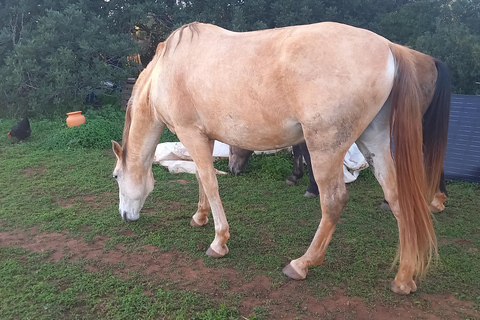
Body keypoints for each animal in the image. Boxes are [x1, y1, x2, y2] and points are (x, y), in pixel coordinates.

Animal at [111, 21, 450, 294]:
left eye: (115, 176)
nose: (124, 216)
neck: (166, 69)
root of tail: (388, 48)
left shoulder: (190, 134)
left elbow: (209, 182)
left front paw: (219, 241)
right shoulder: (204, 137)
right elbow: (200, 179)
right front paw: (200, 217)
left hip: (325, 148)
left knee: (334, 201)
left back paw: (301, 264)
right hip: (374, 142)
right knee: (397, 198)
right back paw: (404, 279)